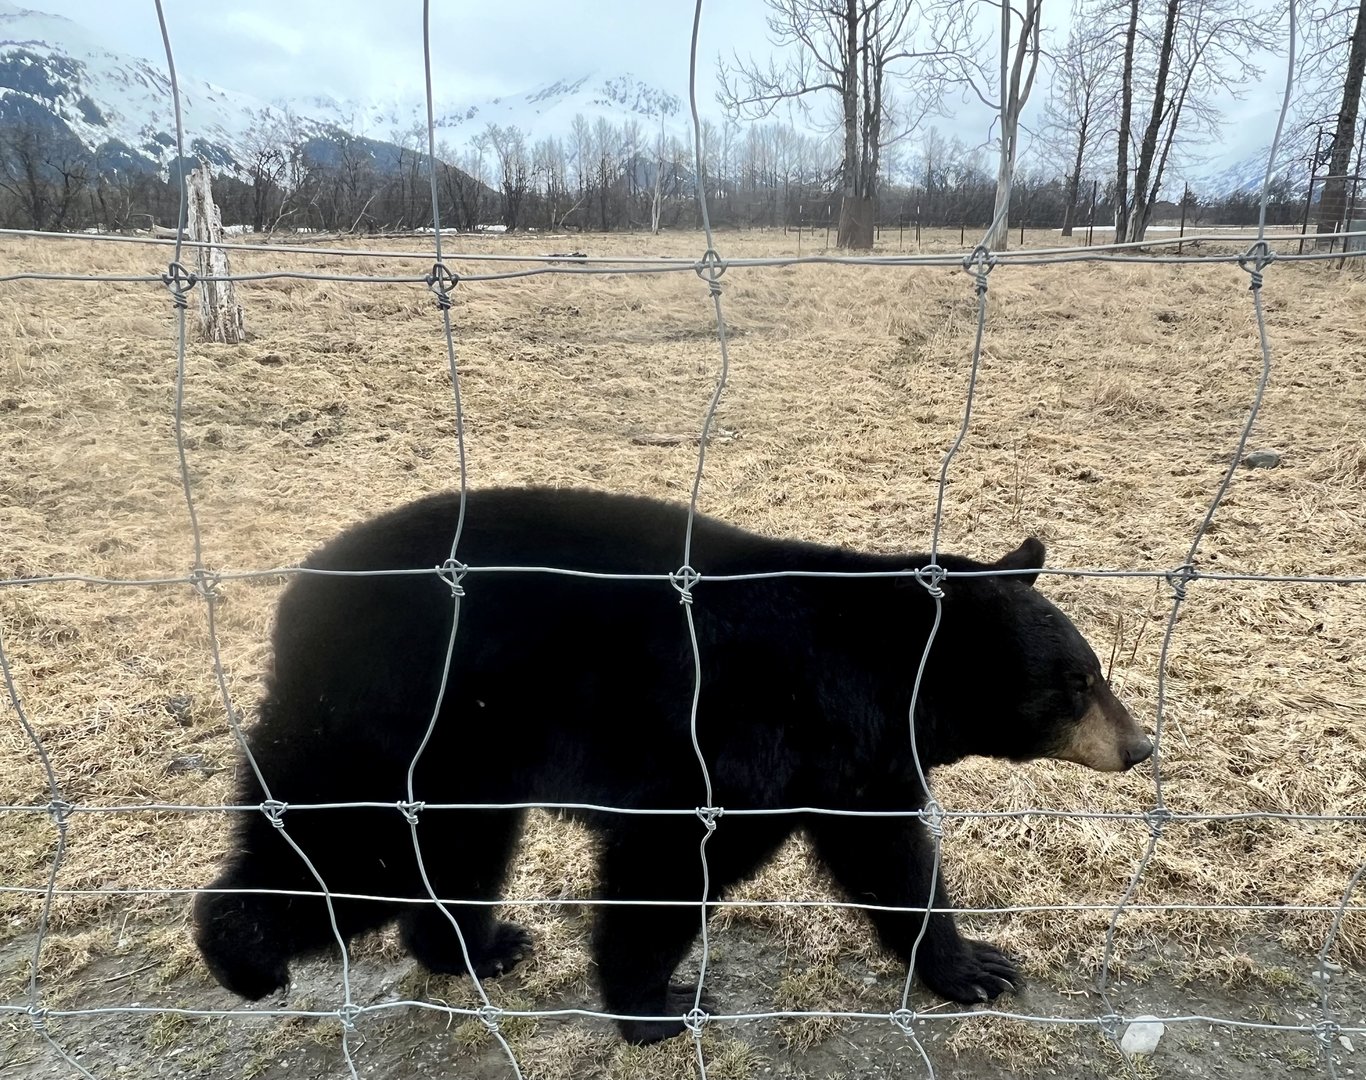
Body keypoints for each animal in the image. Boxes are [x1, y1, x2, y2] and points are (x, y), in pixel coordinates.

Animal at [193, 486, 1151, 1044]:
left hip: (466, 760)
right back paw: (242, 954)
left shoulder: (856, 760)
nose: (1141, 744)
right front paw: (654, 1007)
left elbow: (892, 860)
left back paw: (477, 948)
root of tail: (299, 593)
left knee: (452, 851)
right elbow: (671, 864)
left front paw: (974, 966)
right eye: (1080, 681)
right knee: (348, 848)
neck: (878, 672)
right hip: (392, 714)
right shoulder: (748, 737)